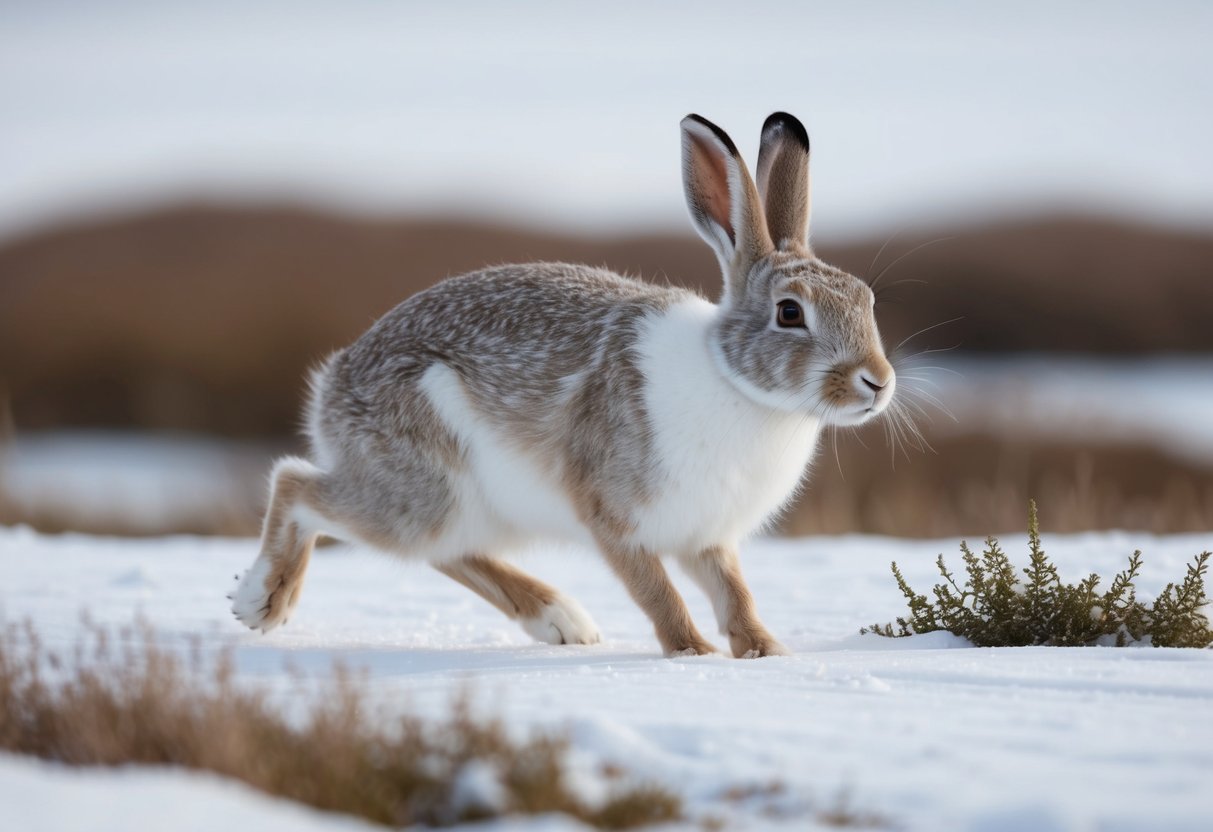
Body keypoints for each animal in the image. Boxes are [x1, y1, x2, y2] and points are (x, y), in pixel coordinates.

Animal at [230, 112, 895, 657]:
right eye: (790, 313)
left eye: (865, 299)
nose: (879, 382)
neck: (734, 381)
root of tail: (331, 387)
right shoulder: (612, 515)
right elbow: (656, 590)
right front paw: (692, 654)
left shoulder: (708, 537)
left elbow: (735, 591)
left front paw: (763, 651)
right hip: (422, 490)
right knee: (298, 486)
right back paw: (260, 601)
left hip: (471, 509)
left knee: (447, 551)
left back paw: (561, 622)